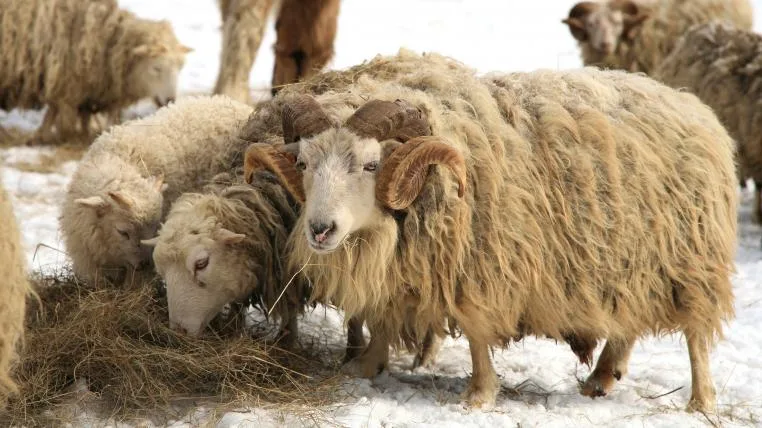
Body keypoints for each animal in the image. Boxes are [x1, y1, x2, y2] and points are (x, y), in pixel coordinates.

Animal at [0, 0, 193, 144]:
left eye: (180, 67)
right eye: (156, 68)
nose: (170, 100)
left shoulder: (72, 88)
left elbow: (61, 113)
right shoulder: (66, 85)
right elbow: (60, 116)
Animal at [243, 49, 738, 412]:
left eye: (370, 164)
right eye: (302, 163)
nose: (320, 230)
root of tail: (689, 103)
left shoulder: (482, 267)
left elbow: (478, 333)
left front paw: (479, 395)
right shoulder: (408, 267)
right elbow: (384, 316)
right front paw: (365, 366)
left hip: (689, 259)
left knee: (696, 337)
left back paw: (702, 402)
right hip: (630, 259)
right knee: (627, 322)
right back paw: (601, 378)